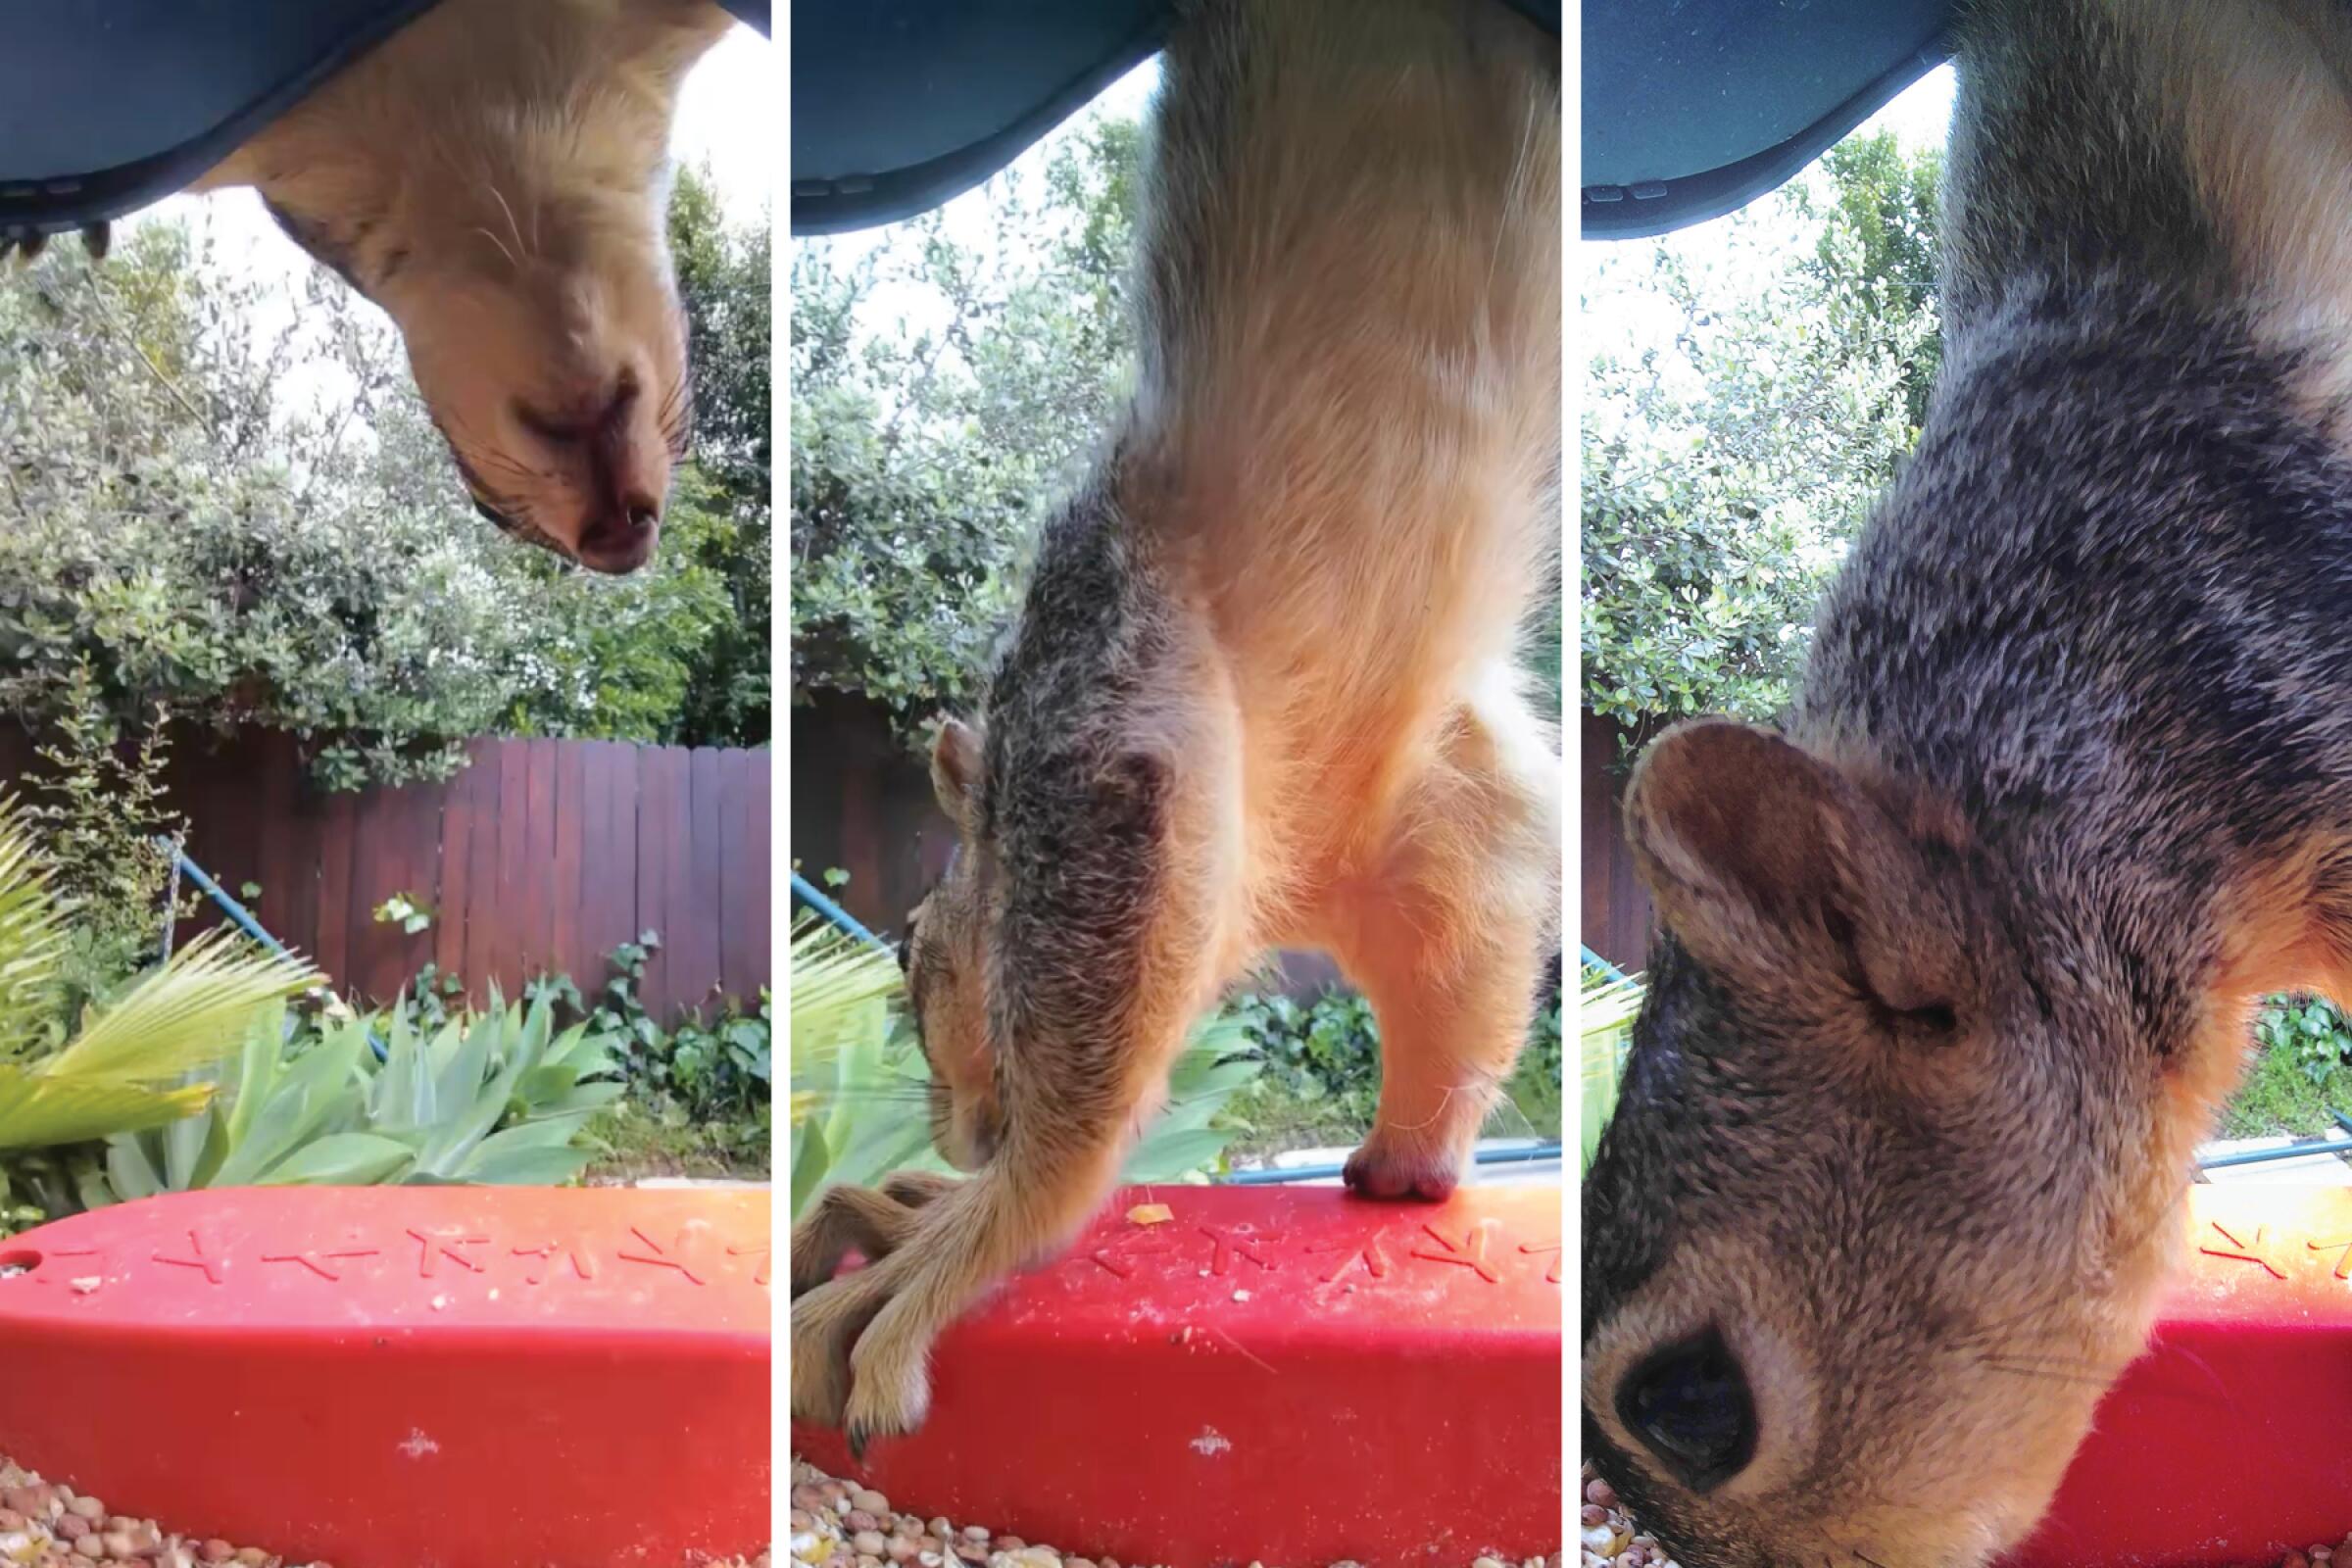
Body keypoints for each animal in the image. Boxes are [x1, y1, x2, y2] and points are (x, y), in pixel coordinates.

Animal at [790, 0, 1561, 1457]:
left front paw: (943, 1239)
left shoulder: (1101, 713)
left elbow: (1076, 1150)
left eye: (914, 949)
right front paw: (1409, 1166)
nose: (959, 1137)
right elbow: (1470, 964)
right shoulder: (1430, 811)